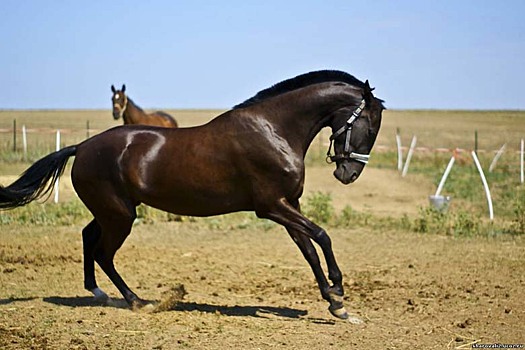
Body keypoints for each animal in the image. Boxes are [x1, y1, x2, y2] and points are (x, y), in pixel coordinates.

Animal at [1, 71, 384, 320]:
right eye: (370, 125)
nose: (348, 174)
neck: (274, 129)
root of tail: (81, 147)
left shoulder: (289, 205)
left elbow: (309, 250)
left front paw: (336, 305)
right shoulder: (271, 206)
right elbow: (322, 235)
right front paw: (339, 291)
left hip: (112, 211)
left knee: (87, 237)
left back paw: (99, 293)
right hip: (120, 216)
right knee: (103, 253)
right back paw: (139, 301)